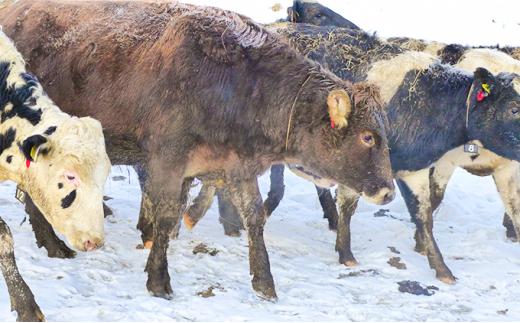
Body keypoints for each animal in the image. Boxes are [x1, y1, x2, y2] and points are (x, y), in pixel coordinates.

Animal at [1, 1, 394, 302]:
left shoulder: (237, 167)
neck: (239, 86)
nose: (388, 191)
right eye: (367, 137)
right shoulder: (167, 161)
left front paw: (264, 282)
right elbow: (165, 217)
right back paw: (54, 245)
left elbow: (254, 217)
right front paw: (158, 279)